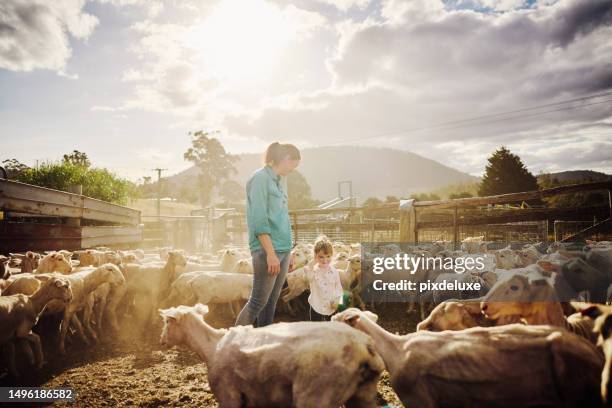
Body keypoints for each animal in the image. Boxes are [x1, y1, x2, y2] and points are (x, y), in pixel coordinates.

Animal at [160, 304, 384, 406]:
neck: (211, 346)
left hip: (316, 395)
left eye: (167, 322)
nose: (161, 341)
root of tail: (365, 347)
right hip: (362, 395)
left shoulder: (228, 395)